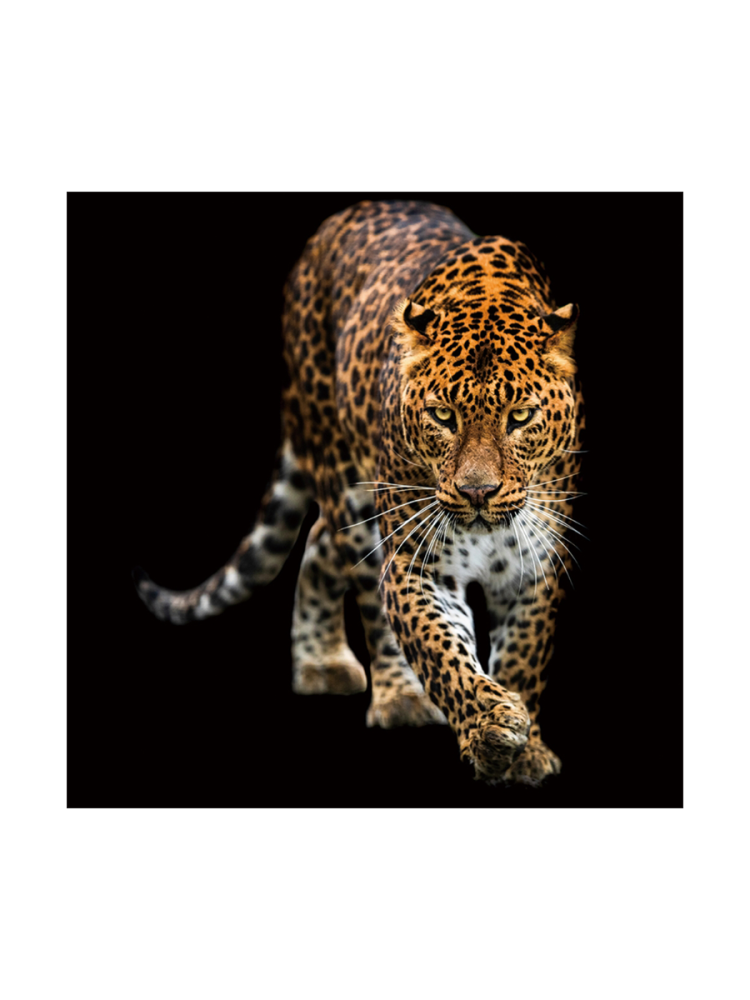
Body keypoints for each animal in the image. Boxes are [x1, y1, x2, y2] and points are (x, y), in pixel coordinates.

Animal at [134, 200, 585, 785]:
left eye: (521, 417)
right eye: (443, 416)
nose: (478, 493)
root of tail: (346, 215)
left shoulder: (536, 565)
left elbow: (525, 655)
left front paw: (525, 749)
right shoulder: (417, 563)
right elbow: (441, 650)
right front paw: (489, 727)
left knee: (319, 541)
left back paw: (320, 662)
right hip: (350, 484)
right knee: (363, 586)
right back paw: (397, 696)